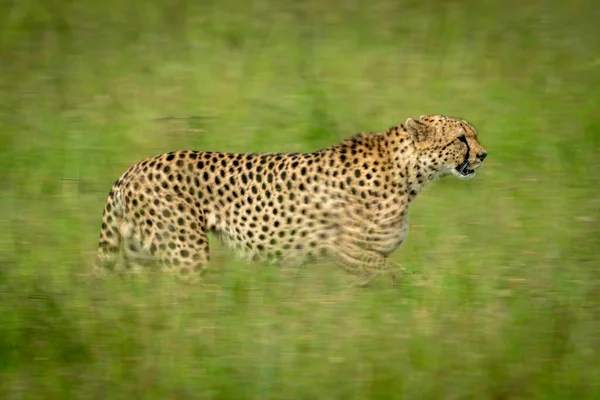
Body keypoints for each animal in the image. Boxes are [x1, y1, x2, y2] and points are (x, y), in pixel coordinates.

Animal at [95, 114, 488, 286]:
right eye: (461, 138)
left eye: (473, 135)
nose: (484, 155)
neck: (409, 171)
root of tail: (133, 168)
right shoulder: (345, 249)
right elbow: (398, 273)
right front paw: (425, 292)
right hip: (185, 253)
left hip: (141, 252)